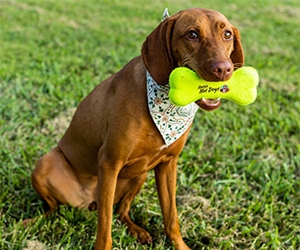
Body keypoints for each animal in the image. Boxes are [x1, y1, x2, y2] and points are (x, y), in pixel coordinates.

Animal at [28, 8, 244, 250]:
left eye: (227, 34)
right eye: (192, 34)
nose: (224, 69)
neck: (165, 107)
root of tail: (87, 200)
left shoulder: (168, 165)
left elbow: (171, 216)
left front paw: (179, 245)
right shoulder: (109, 164)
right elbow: (105, 229)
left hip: (140, 175)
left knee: (121, 212)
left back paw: (136, 230)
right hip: (45, 165)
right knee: (54, 209)